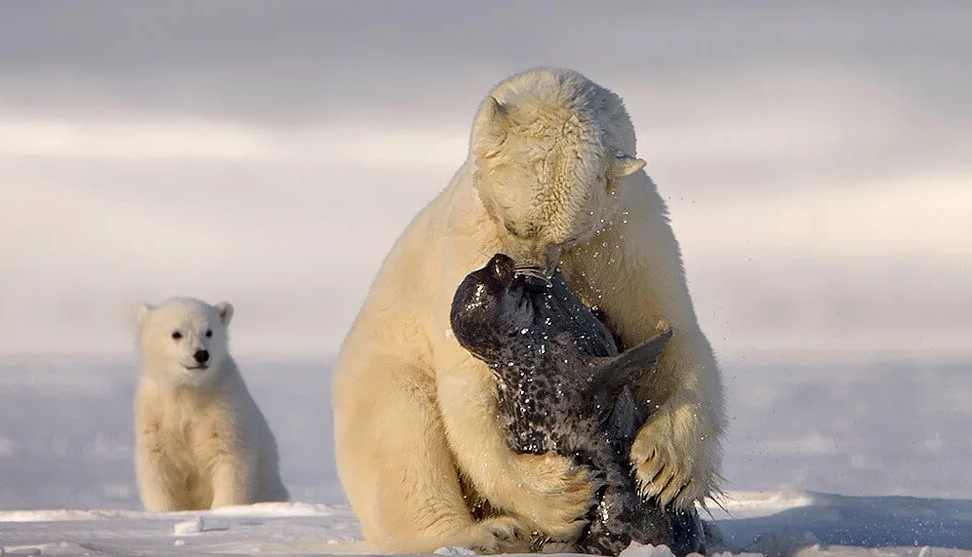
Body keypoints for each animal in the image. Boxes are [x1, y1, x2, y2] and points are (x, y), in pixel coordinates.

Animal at [135, 298, 290, 510]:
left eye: (209, 331)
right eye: (176, 333)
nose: (201, 354)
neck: (190, 391)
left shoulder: (224, 408)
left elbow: (229, 459)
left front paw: (224, 510)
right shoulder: (155, 413)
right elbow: (157, 467)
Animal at [332, 66, 720, 552]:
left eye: (566, 236)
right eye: (514, 224)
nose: (526, 275)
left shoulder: (627, 233)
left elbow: (669, 329)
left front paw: (666, 468)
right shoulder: (470, 242)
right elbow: (469, 392)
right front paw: (561, 495)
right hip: (378, 374)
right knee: (404, 433)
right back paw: (486, 531)